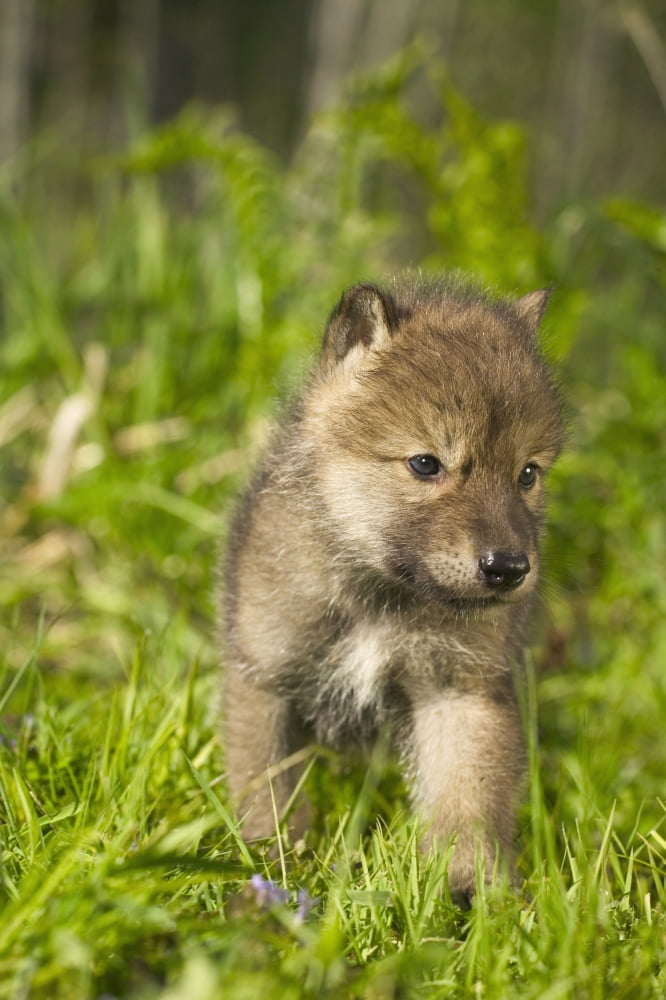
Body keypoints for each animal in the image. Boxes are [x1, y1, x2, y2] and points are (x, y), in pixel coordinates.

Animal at [221, 276, 563, 897]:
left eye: (527, 473)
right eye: (426, 464)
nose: (508, 568)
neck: (377, 597)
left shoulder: (461, 690)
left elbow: (467, 804)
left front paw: (473, 895)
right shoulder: (264, 674)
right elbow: (268, 791)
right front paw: (271, 864)